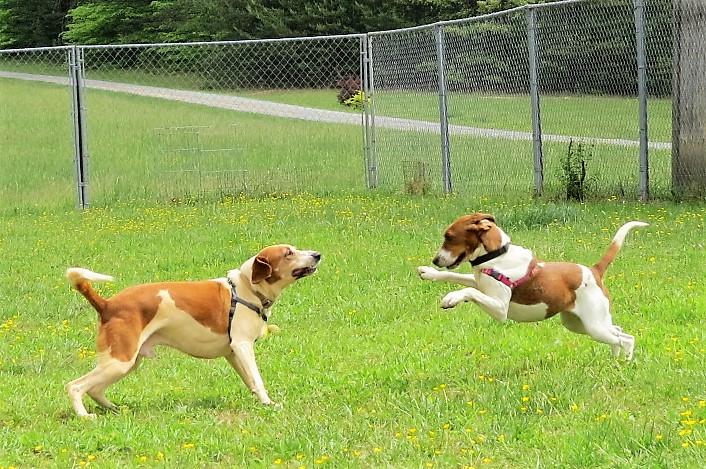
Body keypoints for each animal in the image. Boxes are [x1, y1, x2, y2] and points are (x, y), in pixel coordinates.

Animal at [65, 245, 320, 416]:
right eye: (288, 253)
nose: (317, 255)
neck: (247, 288)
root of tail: (107, 304)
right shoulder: (242, 346)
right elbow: (258, 379)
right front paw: (268, 404)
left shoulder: (233, 353)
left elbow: (250, 381)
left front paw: (260, 401)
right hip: (120, 360)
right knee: (75, 386)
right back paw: (85, 416)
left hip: (126, 362)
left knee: (95, 389)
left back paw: (115, 408)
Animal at [418, 215, 644, 358]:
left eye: (449, 237)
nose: (435, 260)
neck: (496, 256)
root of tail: (594, 270)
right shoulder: (480, 283)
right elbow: (457, 276)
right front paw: (430, 273)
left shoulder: (500, 309)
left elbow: (469, 290)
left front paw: (451, 298)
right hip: (580, 324)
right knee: (618, 333)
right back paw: (615, 360)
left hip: (593, 326)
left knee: (627, 339)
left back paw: (625, 364)